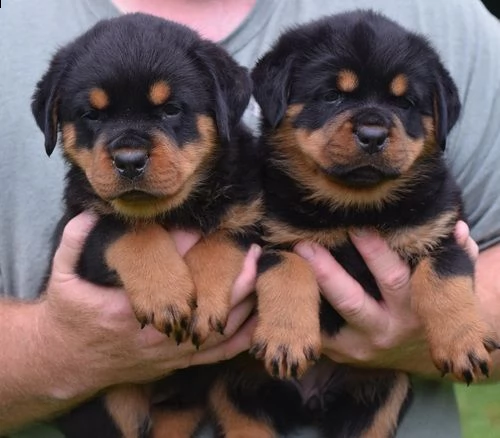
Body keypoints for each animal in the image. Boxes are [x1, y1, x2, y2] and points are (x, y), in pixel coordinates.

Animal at [32, 12, 262, 438]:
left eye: (170, 109)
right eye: (92, 115)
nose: (129, 160)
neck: (177, 210)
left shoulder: (254, 217)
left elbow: (221, 239)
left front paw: (203, 301)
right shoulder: (77, 227)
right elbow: (127, 229)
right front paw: (165, 294)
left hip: (184, 402)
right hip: (112, 403)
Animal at [247, 10, 500, 438]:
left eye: (406, 103)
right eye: (332, 96)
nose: (373, 134)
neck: (357, 207)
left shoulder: (442, 230)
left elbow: (444, 279)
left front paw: (462, 343)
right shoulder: (275, 236)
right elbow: (288, 271)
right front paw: (286, 339)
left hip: (383, 394)